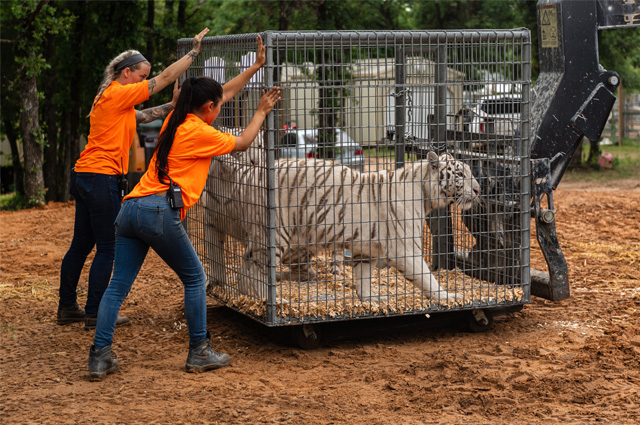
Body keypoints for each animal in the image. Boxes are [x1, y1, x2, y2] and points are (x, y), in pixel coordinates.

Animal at [235, 151, 480, 304]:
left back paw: (247, 296)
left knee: (246, 263)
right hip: (276, 234)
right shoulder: (405, 249)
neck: (425, 193)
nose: (478, 189)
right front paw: (447, 297)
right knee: (259, 270)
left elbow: (363, 277)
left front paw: (370, 299)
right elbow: (427, 277)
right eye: (460, 175)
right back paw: (271, 300)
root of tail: (251, 174)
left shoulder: (367, 250)